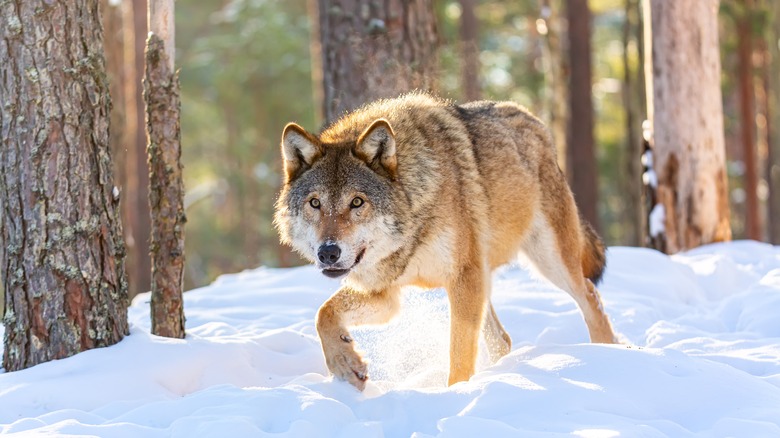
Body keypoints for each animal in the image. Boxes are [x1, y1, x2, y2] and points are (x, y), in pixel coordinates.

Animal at [274, 93, 617, 391]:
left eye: (357, 202)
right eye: (315, 203)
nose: (328, 253)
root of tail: (533, 119)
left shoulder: (462, 278)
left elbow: (460, 354)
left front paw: (454, 394)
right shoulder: (385, 294)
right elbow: (323, 314)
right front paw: (346, 364)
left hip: (548, 260)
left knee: (590, 296)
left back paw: (608, 357)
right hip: (488, 278)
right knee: (502, 339)